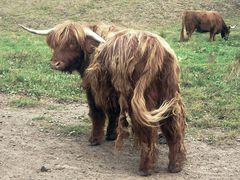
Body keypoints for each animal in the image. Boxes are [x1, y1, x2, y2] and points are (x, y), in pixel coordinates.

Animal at [19, 21, 187, 176]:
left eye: (72, 43)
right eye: (55, 44)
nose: (55, 64)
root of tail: (157, 50)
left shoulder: (93, 88)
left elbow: (96, 113)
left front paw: (95, 139)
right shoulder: (113, 92)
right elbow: (113, 112)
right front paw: (111, 135)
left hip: (142, 100)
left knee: (148, 129)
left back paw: (145, 168)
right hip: (169, 95)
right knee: (174, 127)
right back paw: (176, 165)